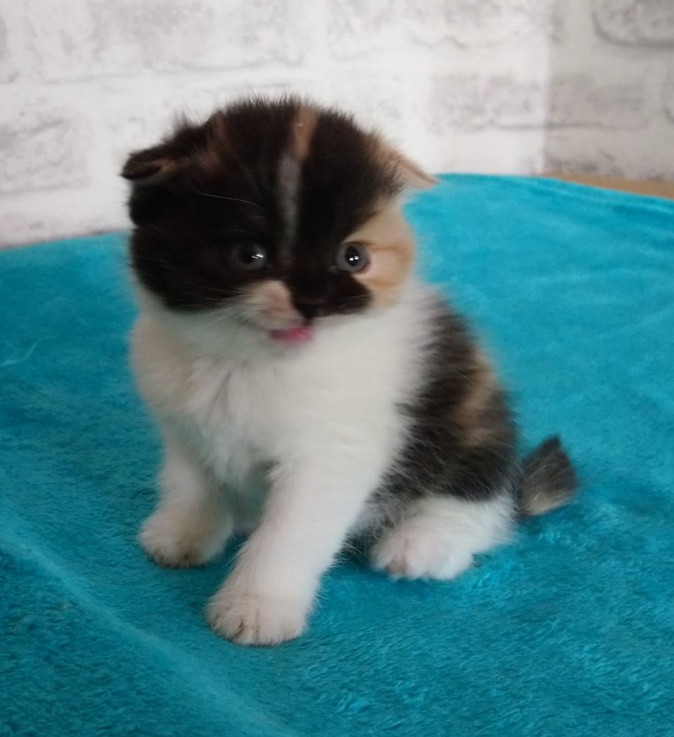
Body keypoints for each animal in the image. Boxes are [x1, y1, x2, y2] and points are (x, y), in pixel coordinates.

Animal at [121, 96, 572, 644]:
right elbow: (190, 482)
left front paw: (257, 606)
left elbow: (290, 533)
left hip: (473, 431)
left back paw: (421, 544)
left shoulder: (333, 457)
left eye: (353, 258)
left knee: (480, 508)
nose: (314, 304)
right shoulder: (182, 425)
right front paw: (182, 534)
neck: (243, 365)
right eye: (250, 255)